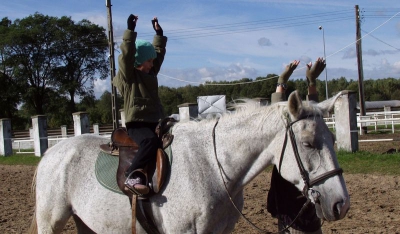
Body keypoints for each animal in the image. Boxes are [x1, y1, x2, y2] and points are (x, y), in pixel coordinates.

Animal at [28, 91, 350, 234]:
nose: (341, 204)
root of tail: (53, 153)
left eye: (334, 140)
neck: (213, 166)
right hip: (51, 222)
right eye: (308, 144)